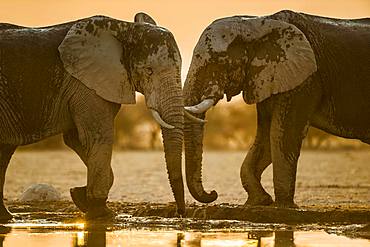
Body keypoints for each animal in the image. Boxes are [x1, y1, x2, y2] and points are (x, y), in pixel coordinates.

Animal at [0, 12, 185, 219]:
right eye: (149, 71)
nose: (179, 213)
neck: (124, 29)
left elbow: (75, 139)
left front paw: (78, 195)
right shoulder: (85, 84)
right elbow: (97, 136)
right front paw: (101, 213)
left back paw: (7, 217)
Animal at [184, 11, 370, 208]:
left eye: (218, 61)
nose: (213, 193)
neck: (257, 23)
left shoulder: (305, 80)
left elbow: (282, 135)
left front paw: (284, 206)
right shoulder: (268, 77)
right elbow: (265, 138)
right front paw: (259, 201)